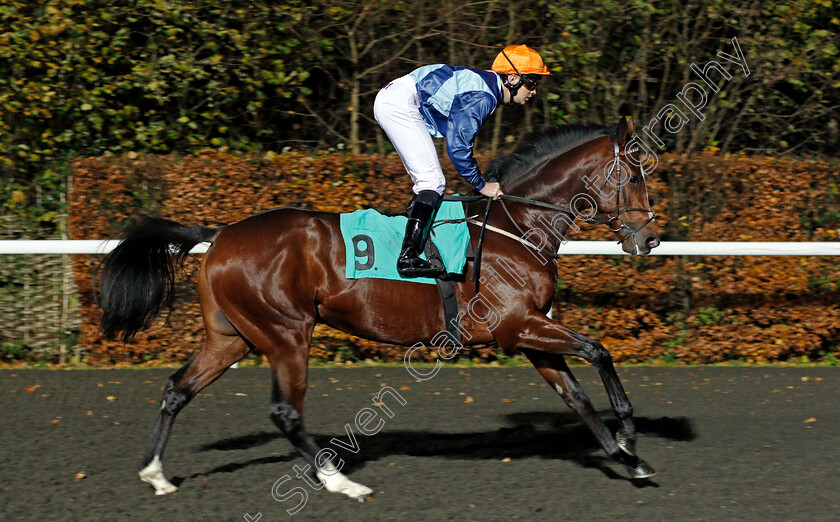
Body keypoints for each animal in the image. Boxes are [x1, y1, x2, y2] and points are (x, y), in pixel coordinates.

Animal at [98, 116, 660, 498]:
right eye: (635, 176)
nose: (650, 238)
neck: (517, 226)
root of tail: (221, 233)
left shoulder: (529, 332)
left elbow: (576, 395)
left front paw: (627, 458)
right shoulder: (518, 326)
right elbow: (598, 350)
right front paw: (630, 433)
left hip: (232, 337)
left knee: (178, 389)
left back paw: (155, 474)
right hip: (286, 333)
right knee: (285, 411)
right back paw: (339, 482)